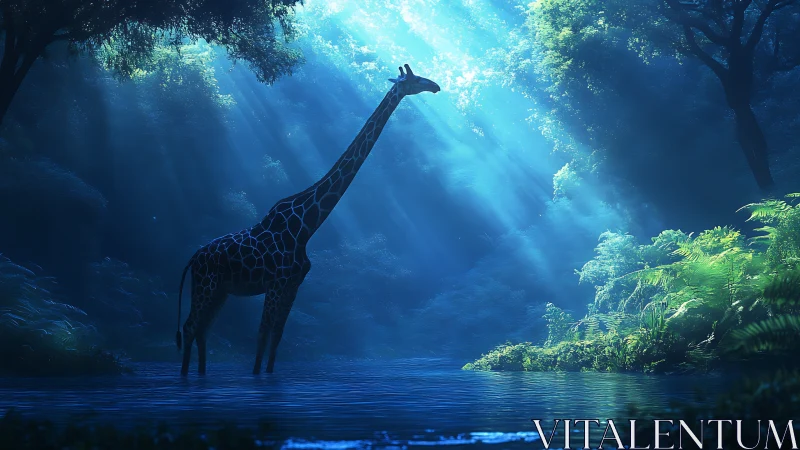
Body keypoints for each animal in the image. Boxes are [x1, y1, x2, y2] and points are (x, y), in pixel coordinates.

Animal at [176, 64, 440, 375]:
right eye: (415, 79)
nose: (435, 86)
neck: (306, 226)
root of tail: (193, 258)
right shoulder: (277, 282)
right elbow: (263, 333)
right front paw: (256, 376)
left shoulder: (294, 284)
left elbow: (277, 336)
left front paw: (268, 375)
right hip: (207, 284)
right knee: (190, 326)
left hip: (220, 289)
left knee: (202, 329)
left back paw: (201, 375)